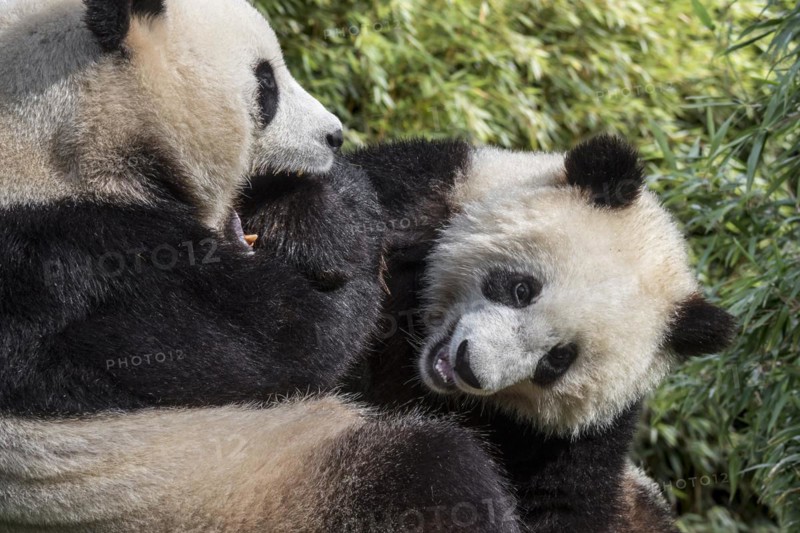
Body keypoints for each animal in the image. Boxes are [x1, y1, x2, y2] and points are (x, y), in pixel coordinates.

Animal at [0, 1, 522, 531]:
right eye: (266, 83)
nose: (334, 135)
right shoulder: (89, 266)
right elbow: (293, 341)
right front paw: (341, 220)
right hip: (235, 484)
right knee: (427, 472)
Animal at [342, 135, 736, 532]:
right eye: (521, 289)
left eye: (558, 359)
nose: (469, 366)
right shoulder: (417, 193)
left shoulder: (580, 437)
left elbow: (560, 501)